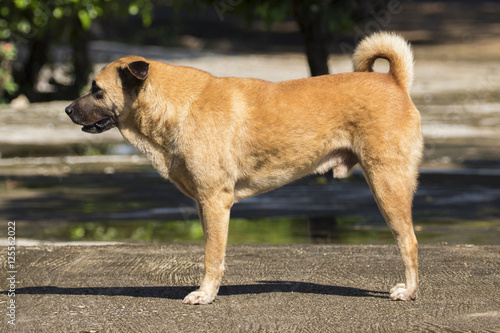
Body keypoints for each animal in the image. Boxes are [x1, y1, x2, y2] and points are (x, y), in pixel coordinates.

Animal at [65, 31, 422, 304]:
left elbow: (211, 255)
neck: (176, 105)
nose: (67, 109)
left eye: (97, 90)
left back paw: (409, 291)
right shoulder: (205, 205)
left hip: (387, 185)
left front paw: (205, 295)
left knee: (408, 241)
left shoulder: (215, 201)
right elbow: (215, 253)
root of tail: (394, 81)